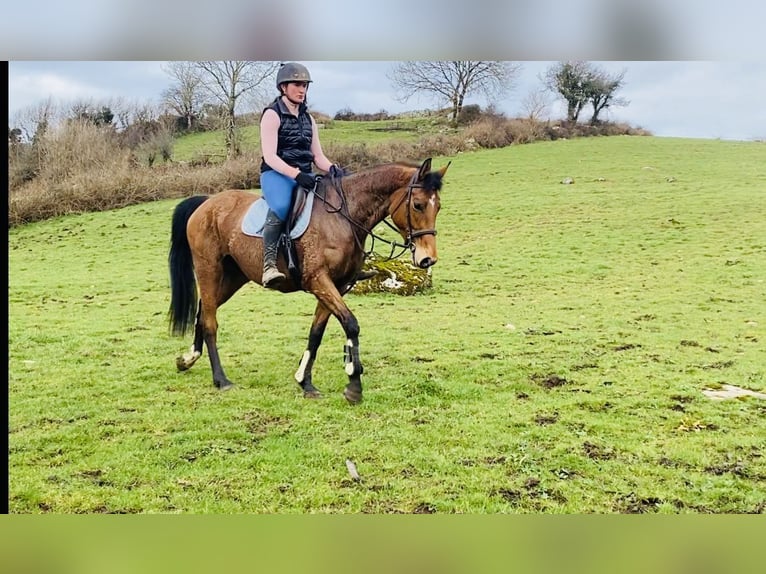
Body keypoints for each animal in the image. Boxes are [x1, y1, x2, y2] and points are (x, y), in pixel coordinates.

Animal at [168, 155, 450, 402]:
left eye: (438, 207)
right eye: (418, 205)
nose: (428, 259)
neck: (343, 217)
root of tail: (206, 203)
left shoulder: (336, 286)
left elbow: (317, 333)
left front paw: (305, 381)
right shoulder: (318, 281)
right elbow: (351, 324)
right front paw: (354, 384)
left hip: (234, 276)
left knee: (204, 310)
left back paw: (188, 358)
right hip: (209, 270)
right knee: (210, 321)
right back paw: (221, 379)